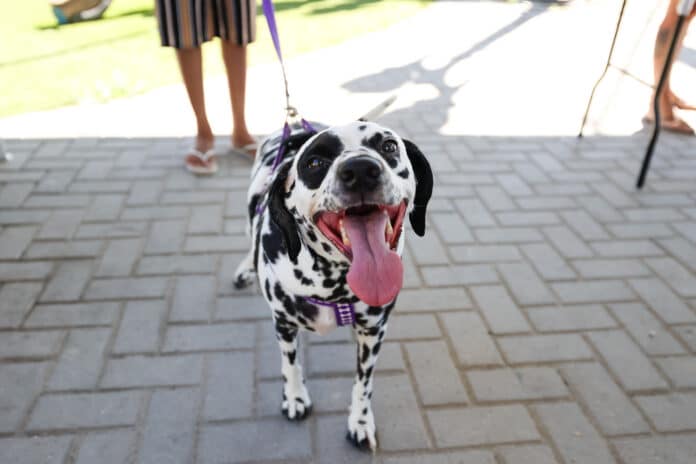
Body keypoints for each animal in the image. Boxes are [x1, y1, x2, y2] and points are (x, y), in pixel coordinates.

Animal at [235, 118, 436, 450]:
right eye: (315, 162)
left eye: (388, 146)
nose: (360, 170)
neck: (333, 283)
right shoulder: (283, 324)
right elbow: (290, 365)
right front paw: (295, 397)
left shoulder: (373, 332)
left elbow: (363, 383)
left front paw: (360, 421)